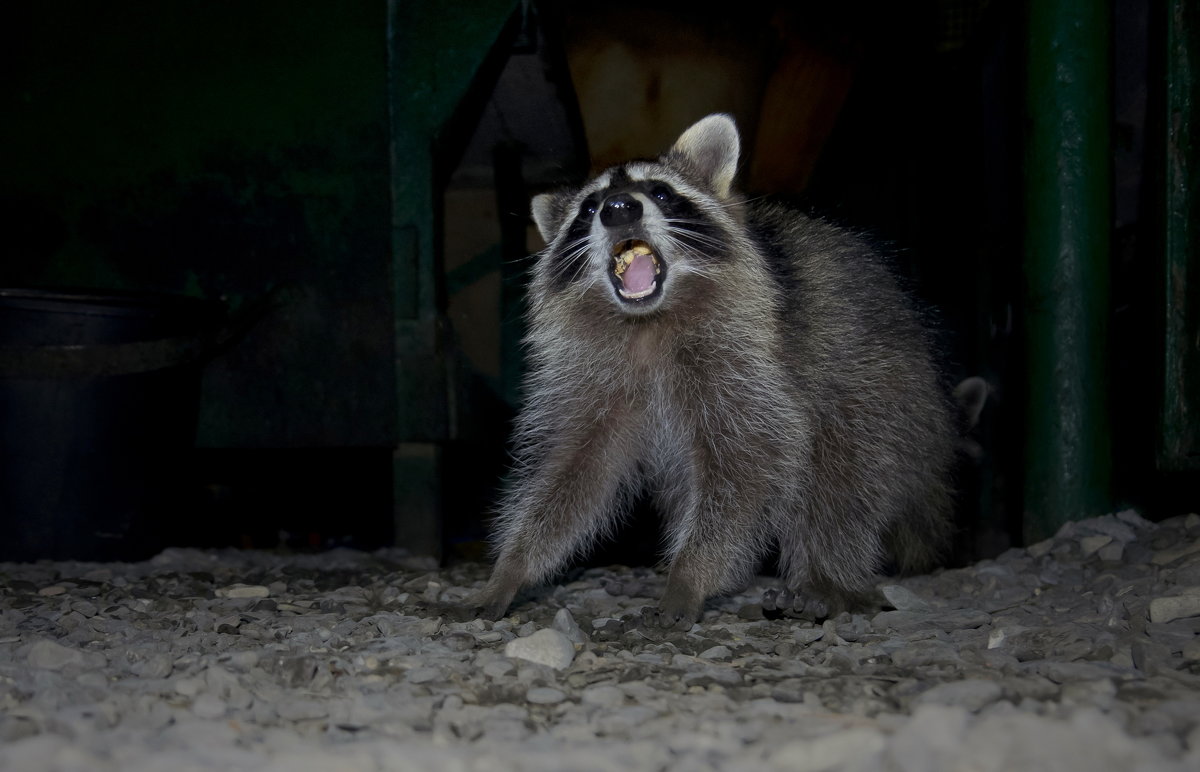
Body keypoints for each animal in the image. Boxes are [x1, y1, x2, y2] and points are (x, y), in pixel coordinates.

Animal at [468, 114, 955, 629]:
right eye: (589, 206)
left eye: (661, 192)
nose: (619, 208)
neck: (648, 323)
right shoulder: (589, 382)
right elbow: (572, 473)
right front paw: (511, 569)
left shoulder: (749, 366)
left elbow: (748, 462)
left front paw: (689, 575)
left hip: (884, 392)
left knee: (842, 478)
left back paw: (829, 580)